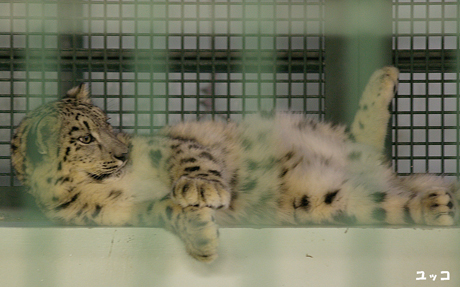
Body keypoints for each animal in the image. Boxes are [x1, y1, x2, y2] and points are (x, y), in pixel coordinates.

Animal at [10, 67, 460, 264]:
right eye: (85, 138)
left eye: (107, 122)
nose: (124, 153)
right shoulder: (129, 213)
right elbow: (169, 210)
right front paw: (202, 238)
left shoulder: (168, 146)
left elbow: (193, 160)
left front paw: (203, 188)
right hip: (326, 200)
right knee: (385, 201)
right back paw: (438, 204)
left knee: (365, 140)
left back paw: (386, 76)